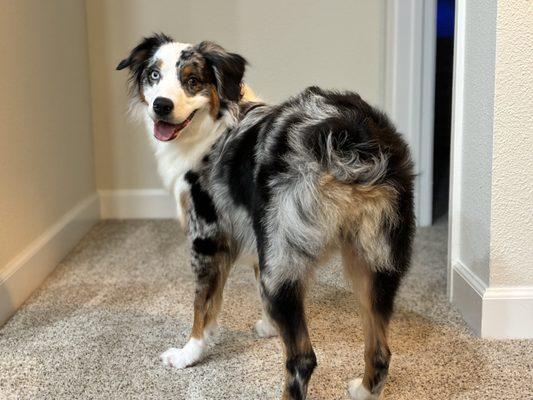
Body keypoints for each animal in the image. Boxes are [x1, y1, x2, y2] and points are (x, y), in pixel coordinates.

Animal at [117, 35, 416, 400]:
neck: (215, 126)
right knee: (380, 350)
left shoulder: (208, 238)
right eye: (154, 75)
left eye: (192, 81)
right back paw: (363, 390)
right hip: (372, 261)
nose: (161, 105)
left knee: (303, 359)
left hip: (286, 257)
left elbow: (203, 308)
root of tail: (347, 138)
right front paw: (270, 327)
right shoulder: (260, 237)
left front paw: (188, 354)